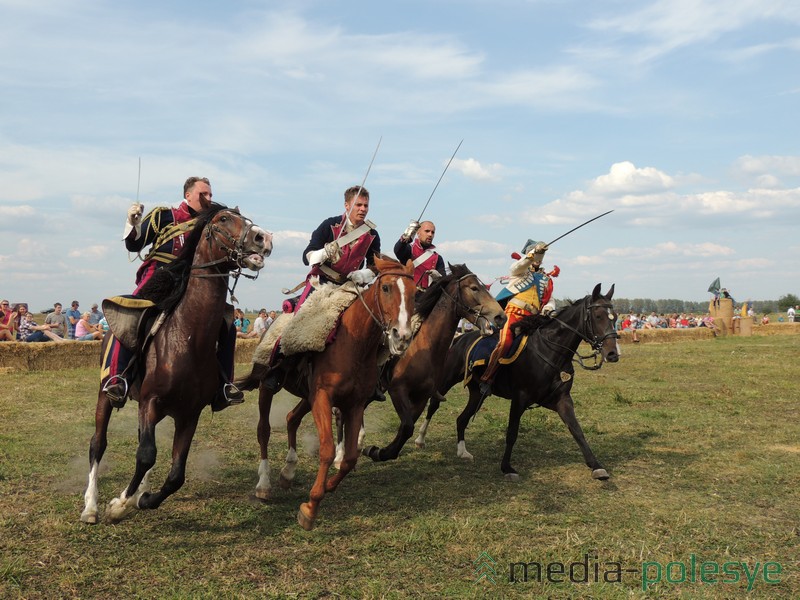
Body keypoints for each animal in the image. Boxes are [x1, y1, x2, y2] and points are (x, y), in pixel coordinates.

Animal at [80, 206, 272, 524]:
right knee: (99, 443)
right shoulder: (151, 401)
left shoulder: (189, 414)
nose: (263, 238)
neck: (186, 338)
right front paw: (118, 504)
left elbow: (175, 474)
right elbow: (146, 454)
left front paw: (144, 499)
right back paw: (91, 506)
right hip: (105, 395)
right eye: (223, 219)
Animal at [236, 253, 412, 528]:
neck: (354, 345)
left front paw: (328, 486)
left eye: (416, 292)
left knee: (292, 419)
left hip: (307, 397)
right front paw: (311, 507)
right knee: (263, 430)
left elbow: (350, 457)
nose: (401, 336)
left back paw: (288, 471)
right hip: (268, 386)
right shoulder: (323, 397)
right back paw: (264, 483)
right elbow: (328, 450)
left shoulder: (353, 405)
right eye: (386, 288)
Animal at [362, 262, 506, 460]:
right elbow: (407, 426)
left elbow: (406, 428)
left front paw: (379, 451)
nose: (500, 316)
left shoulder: (421, 397)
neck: (425, 347)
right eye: (474, 288)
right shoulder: (397, 390)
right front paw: (375, 451)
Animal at [416, 284, 620, 480]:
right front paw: (507, 467)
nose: (612, 354)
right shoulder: (520, 398)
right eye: (598, 316)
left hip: (477, 393)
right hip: (446, 381)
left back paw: (462, 451)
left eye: (615, 317)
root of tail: (460, 338)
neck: (550, 351)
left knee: (461, 419)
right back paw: (420, 439)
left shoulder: (562, 400)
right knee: (434, 404)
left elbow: (577, 430)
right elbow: (512, 433)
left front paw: (596, 466)